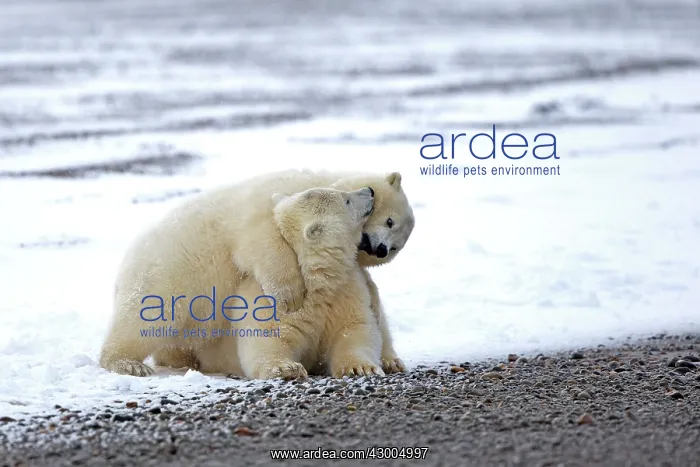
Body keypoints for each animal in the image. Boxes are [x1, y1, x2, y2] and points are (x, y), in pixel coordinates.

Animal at [99, 169, 414, 377]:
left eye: (396, 246)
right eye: (389, 221)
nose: (380, 249)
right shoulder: (262, 210)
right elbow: (263, 244)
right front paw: (291, 295)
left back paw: (391, 361)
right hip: (164, 279)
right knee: (142, 322)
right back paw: (127, 363)